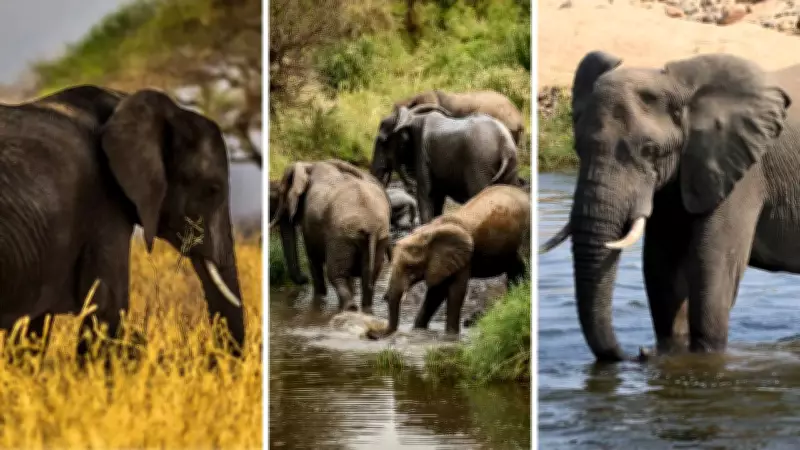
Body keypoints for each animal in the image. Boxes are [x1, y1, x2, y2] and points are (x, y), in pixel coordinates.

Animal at [269, 159, 392, 313]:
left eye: (281, 193)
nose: (304, 279)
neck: (309, 165)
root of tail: (370, 225)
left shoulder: (309, 222)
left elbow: (313, 259)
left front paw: (319, 298)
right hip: (379, 238)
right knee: (368, 277)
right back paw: (364, 309)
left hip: (341, 237)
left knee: (336, 275)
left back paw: (349, 308)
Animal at [367, 184, 530, 339]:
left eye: (411, 267)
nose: (371, 333)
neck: (431, 231)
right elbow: (435, 293)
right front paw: (418, 330)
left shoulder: (464, 257)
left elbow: (454, 292)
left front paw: (451, 336)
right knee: (514, 275)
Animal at [370, 103, 520, 225]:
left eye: (383, 141)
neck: (412, 118)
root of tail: (505, 146)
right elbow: (437, 199)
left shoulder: (423, 155)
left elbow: (427, 196)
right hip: (510, 166)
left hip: (480, 164)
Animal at [539, 50, 800, 363]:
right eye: (577, 148)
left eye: (650, 150)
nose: (638, 353)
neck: (679, 87)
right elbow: (660, 264)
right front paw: (670, 352)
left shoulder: (743, 171)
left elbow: (711, 262)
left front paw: (704, 357)